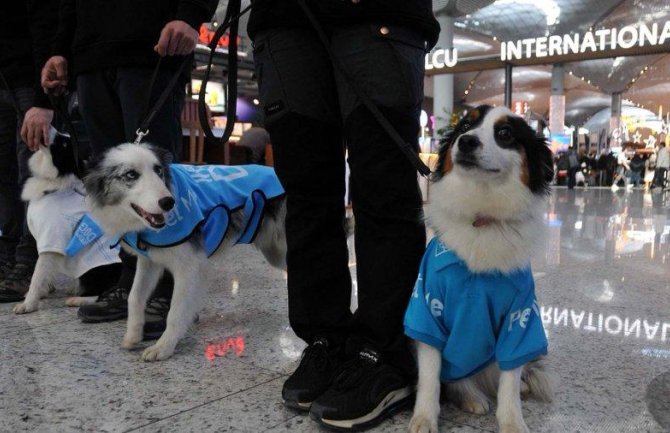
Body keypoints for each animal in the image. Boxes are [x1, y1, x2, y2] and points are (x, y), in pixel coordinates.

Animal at [13, 128, 122, 314]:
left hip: (97, 270)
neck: (53, 181)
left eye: (64, 145)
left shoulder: (51, 237)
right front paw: (43, 291)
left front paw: (28, 304)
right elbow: (45, 272)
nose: (48, 127)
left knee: (103, 292)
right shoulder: (46, 242)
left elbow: (37, 274)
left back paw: (80, 299)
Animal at [404, 105, 556, 432]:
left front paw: (512, 423)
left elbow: (509, 382)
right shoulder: (427, 310)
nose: (466, 142)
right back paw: (471, 396)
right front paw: (423, 418)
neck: (482, 216)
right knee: (455, 378)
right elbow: (430, 377)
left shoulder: (519, 317)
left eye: (505, 133)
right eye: (464, 126)